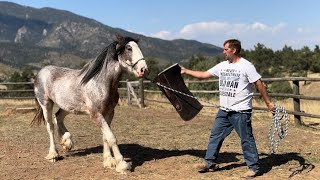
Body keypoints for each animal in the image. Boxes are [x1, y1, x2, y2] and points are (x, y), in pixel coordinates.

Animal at [31, 34, 149, 174]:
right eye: (129, 48)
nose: (143, 69)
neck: (101, 83)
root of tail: (41, 72)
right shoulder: (96, 114)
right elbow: (111, 137)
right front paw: (122, 165)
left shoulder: (109, 113)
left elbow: (105, 137)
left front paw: (109, 161)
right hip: (46, 104)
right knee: (50, 126)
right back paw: (53, 154)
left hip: (68, 106)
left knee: (58, 117)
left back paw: (66, 142)